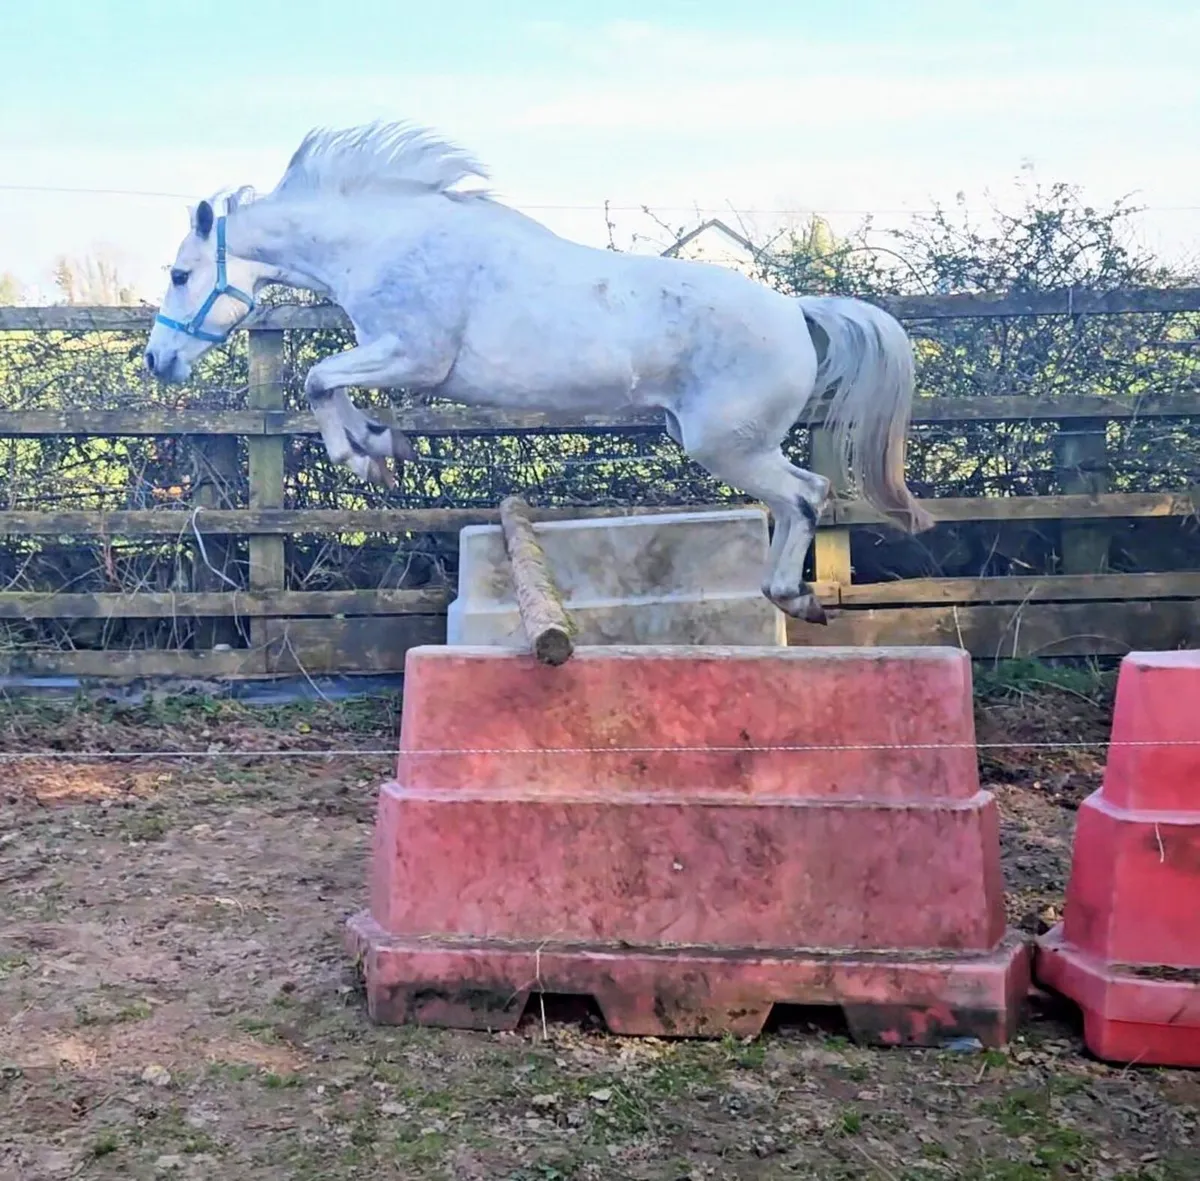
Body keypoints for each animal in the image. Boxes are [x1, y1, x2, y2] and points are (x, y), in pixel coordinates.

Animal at [143, 120, 933, 625]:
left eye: (180, 275)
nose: (157, 359)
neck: (389, 242)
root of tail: (796, 308)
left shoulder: (416, 354)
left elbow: (316, 376)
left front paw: (366, 455)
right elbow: (330, 384)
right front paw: (383, 444)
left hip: (727, 445)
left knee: (804, 495)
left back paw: (792, 597)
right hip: (731, 442)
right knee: (801, 497)